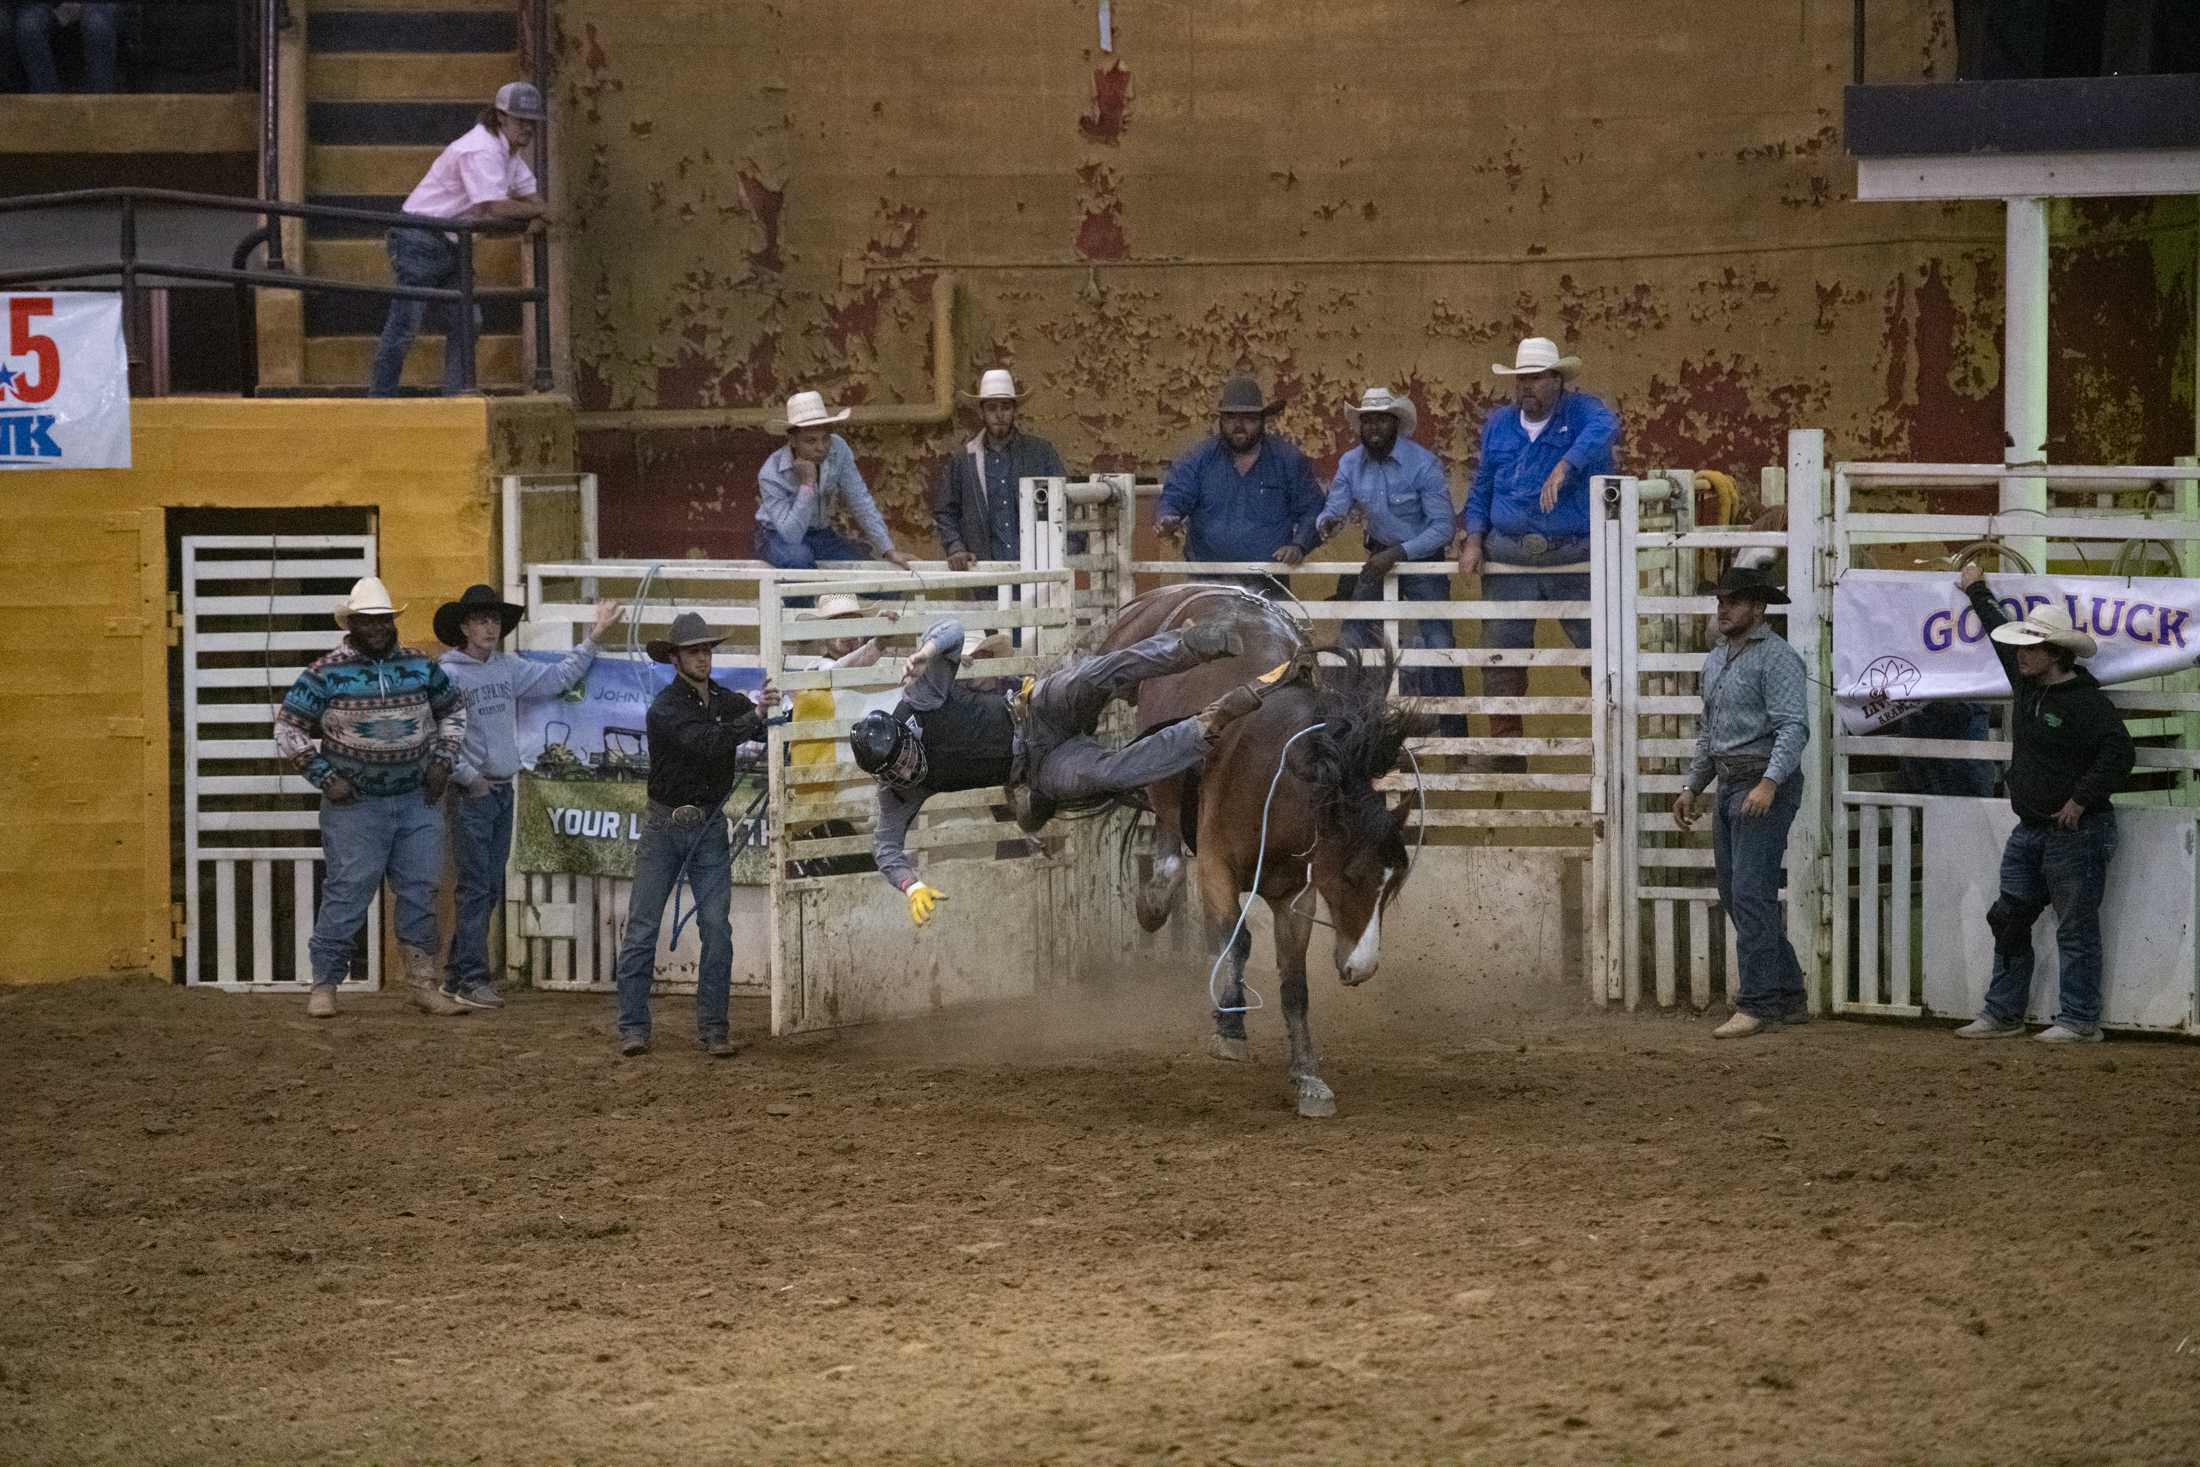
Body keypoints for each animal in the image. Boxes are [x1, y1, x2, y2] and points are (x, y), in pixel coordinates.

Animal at [1100, 580, 1425, 1117]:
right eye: (1352, 874)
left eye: (1390, 886)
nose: (1362, 968)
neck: (1278, 783)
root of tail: (1221, 589)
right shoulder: (1216, 866)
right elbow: (1234, 941)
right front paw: (1230, 1029)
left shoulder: (1296, 894)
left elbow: (1294, 983)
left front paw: (1309, 1076)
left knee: (1166, 831)